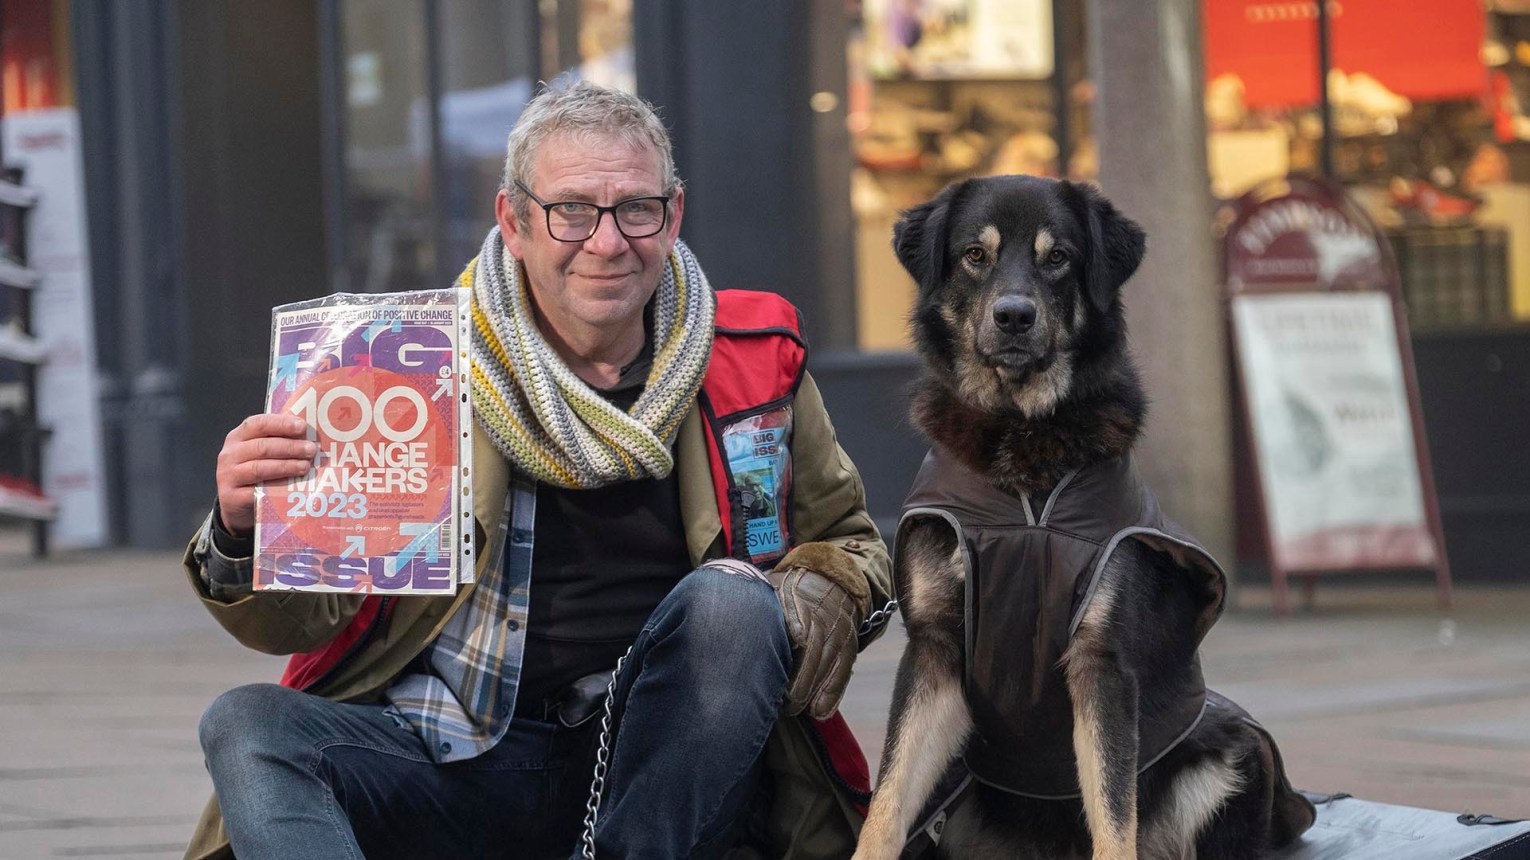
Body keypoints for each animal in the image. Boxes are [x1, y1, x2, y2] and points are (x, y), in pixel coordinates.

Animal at [850, 175, 1315, 856]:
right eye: (974, 255)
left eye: (1059, 257)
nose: (1014, 316)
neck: (1024, 446)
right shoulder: (932, 651)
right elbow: (885, 801)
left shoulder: (1102, 662)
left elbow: (1113, 811)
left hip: (1237, 748)